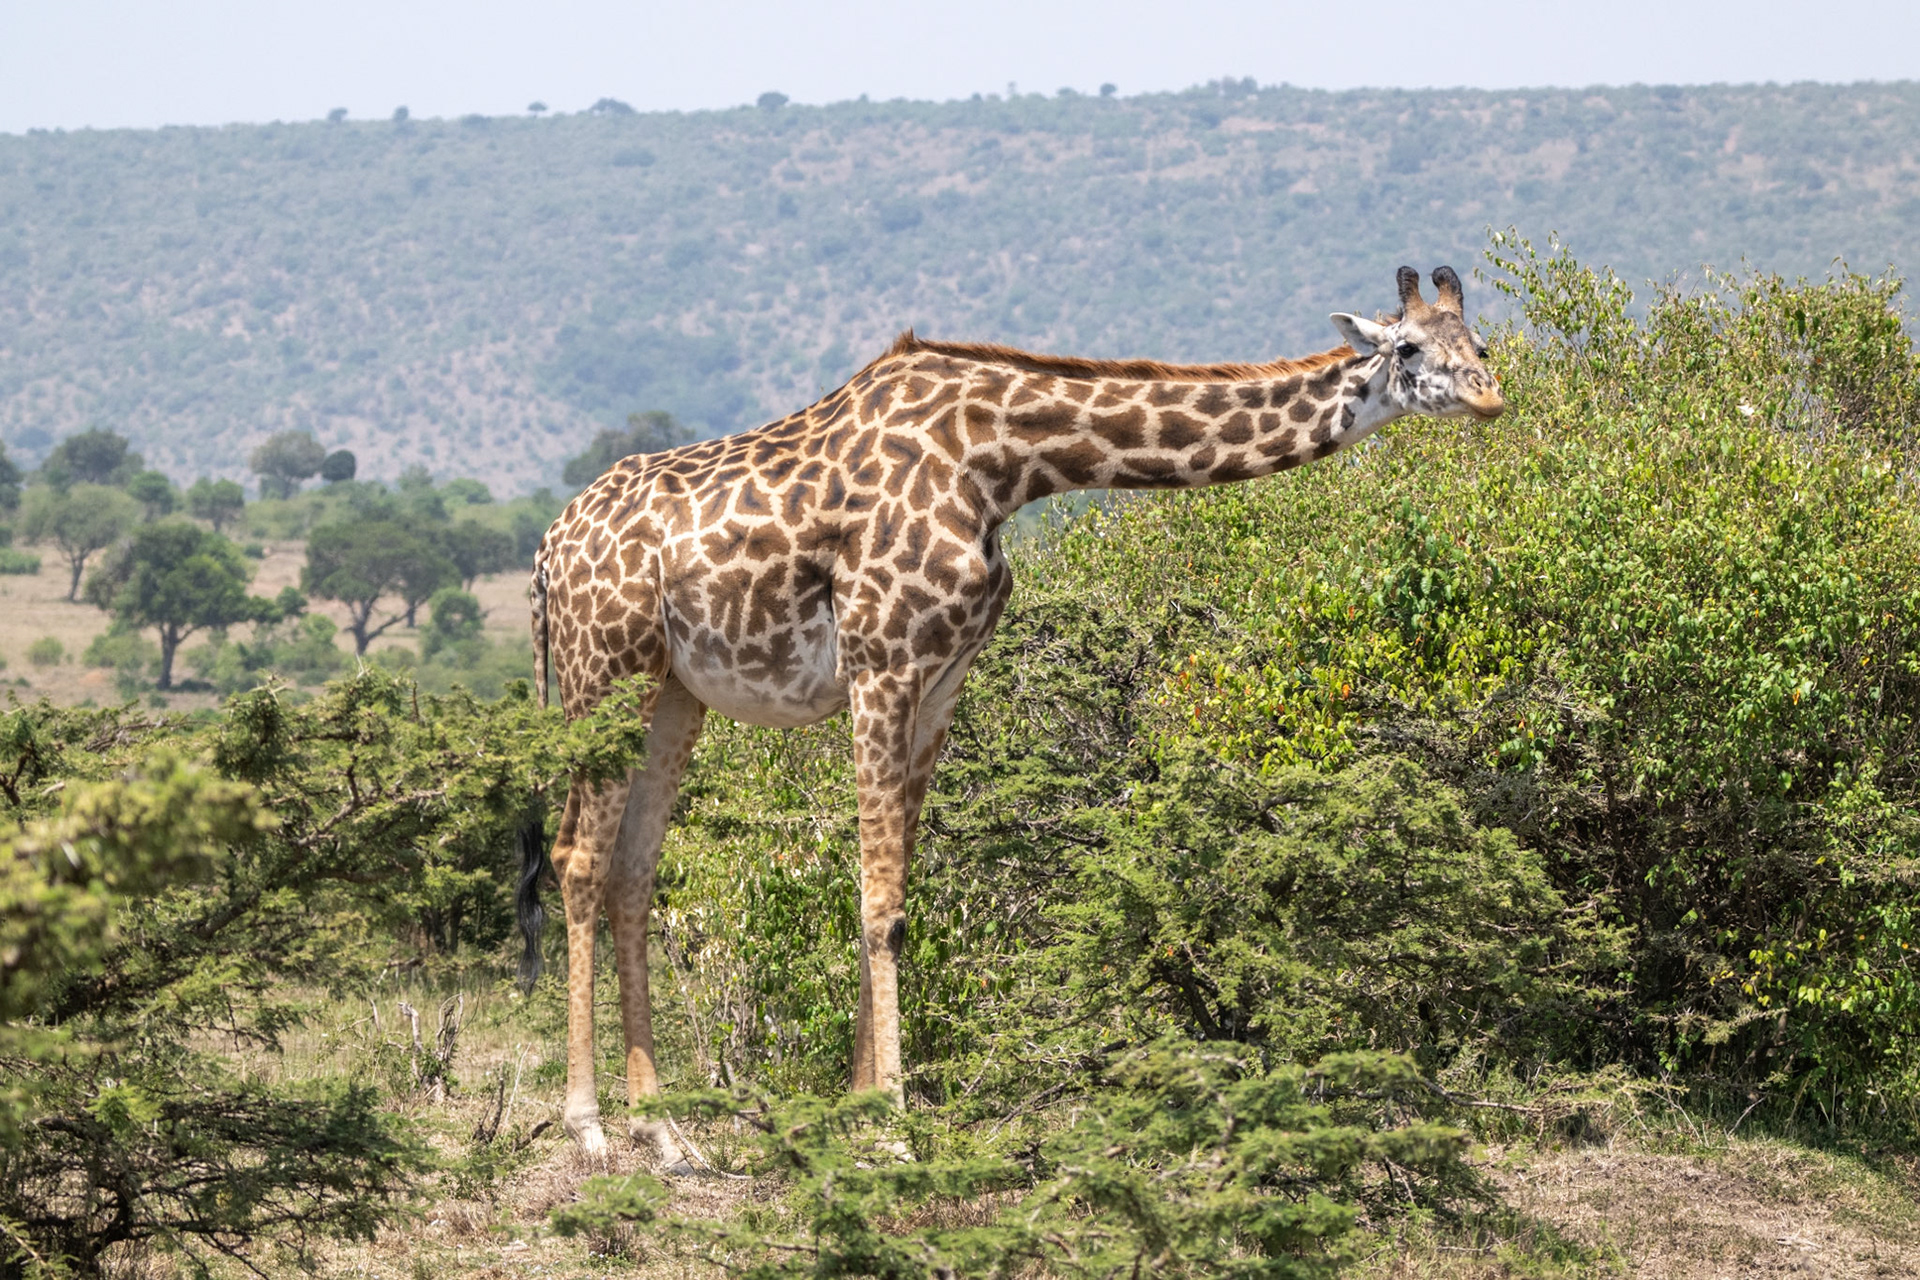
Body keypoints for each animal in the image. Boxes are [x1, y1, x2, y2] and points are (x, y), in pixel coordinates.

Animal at [523, 265, 1503, 1161]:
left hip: (671, 693)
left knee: (632, 871)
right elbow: (877, 903)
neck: (1005, 462)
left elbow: (898, 897)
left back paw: (665, 1135)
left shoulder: (943, 679)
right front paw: (894, 1134)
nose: (1491, 398)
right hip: (602, 671)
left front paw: (860, 1117)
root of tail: (546, 553)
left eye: (1482, 344)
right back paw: (590, 1128)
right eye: (1409, 350)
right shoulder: (881, 662)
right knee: (578, 860)